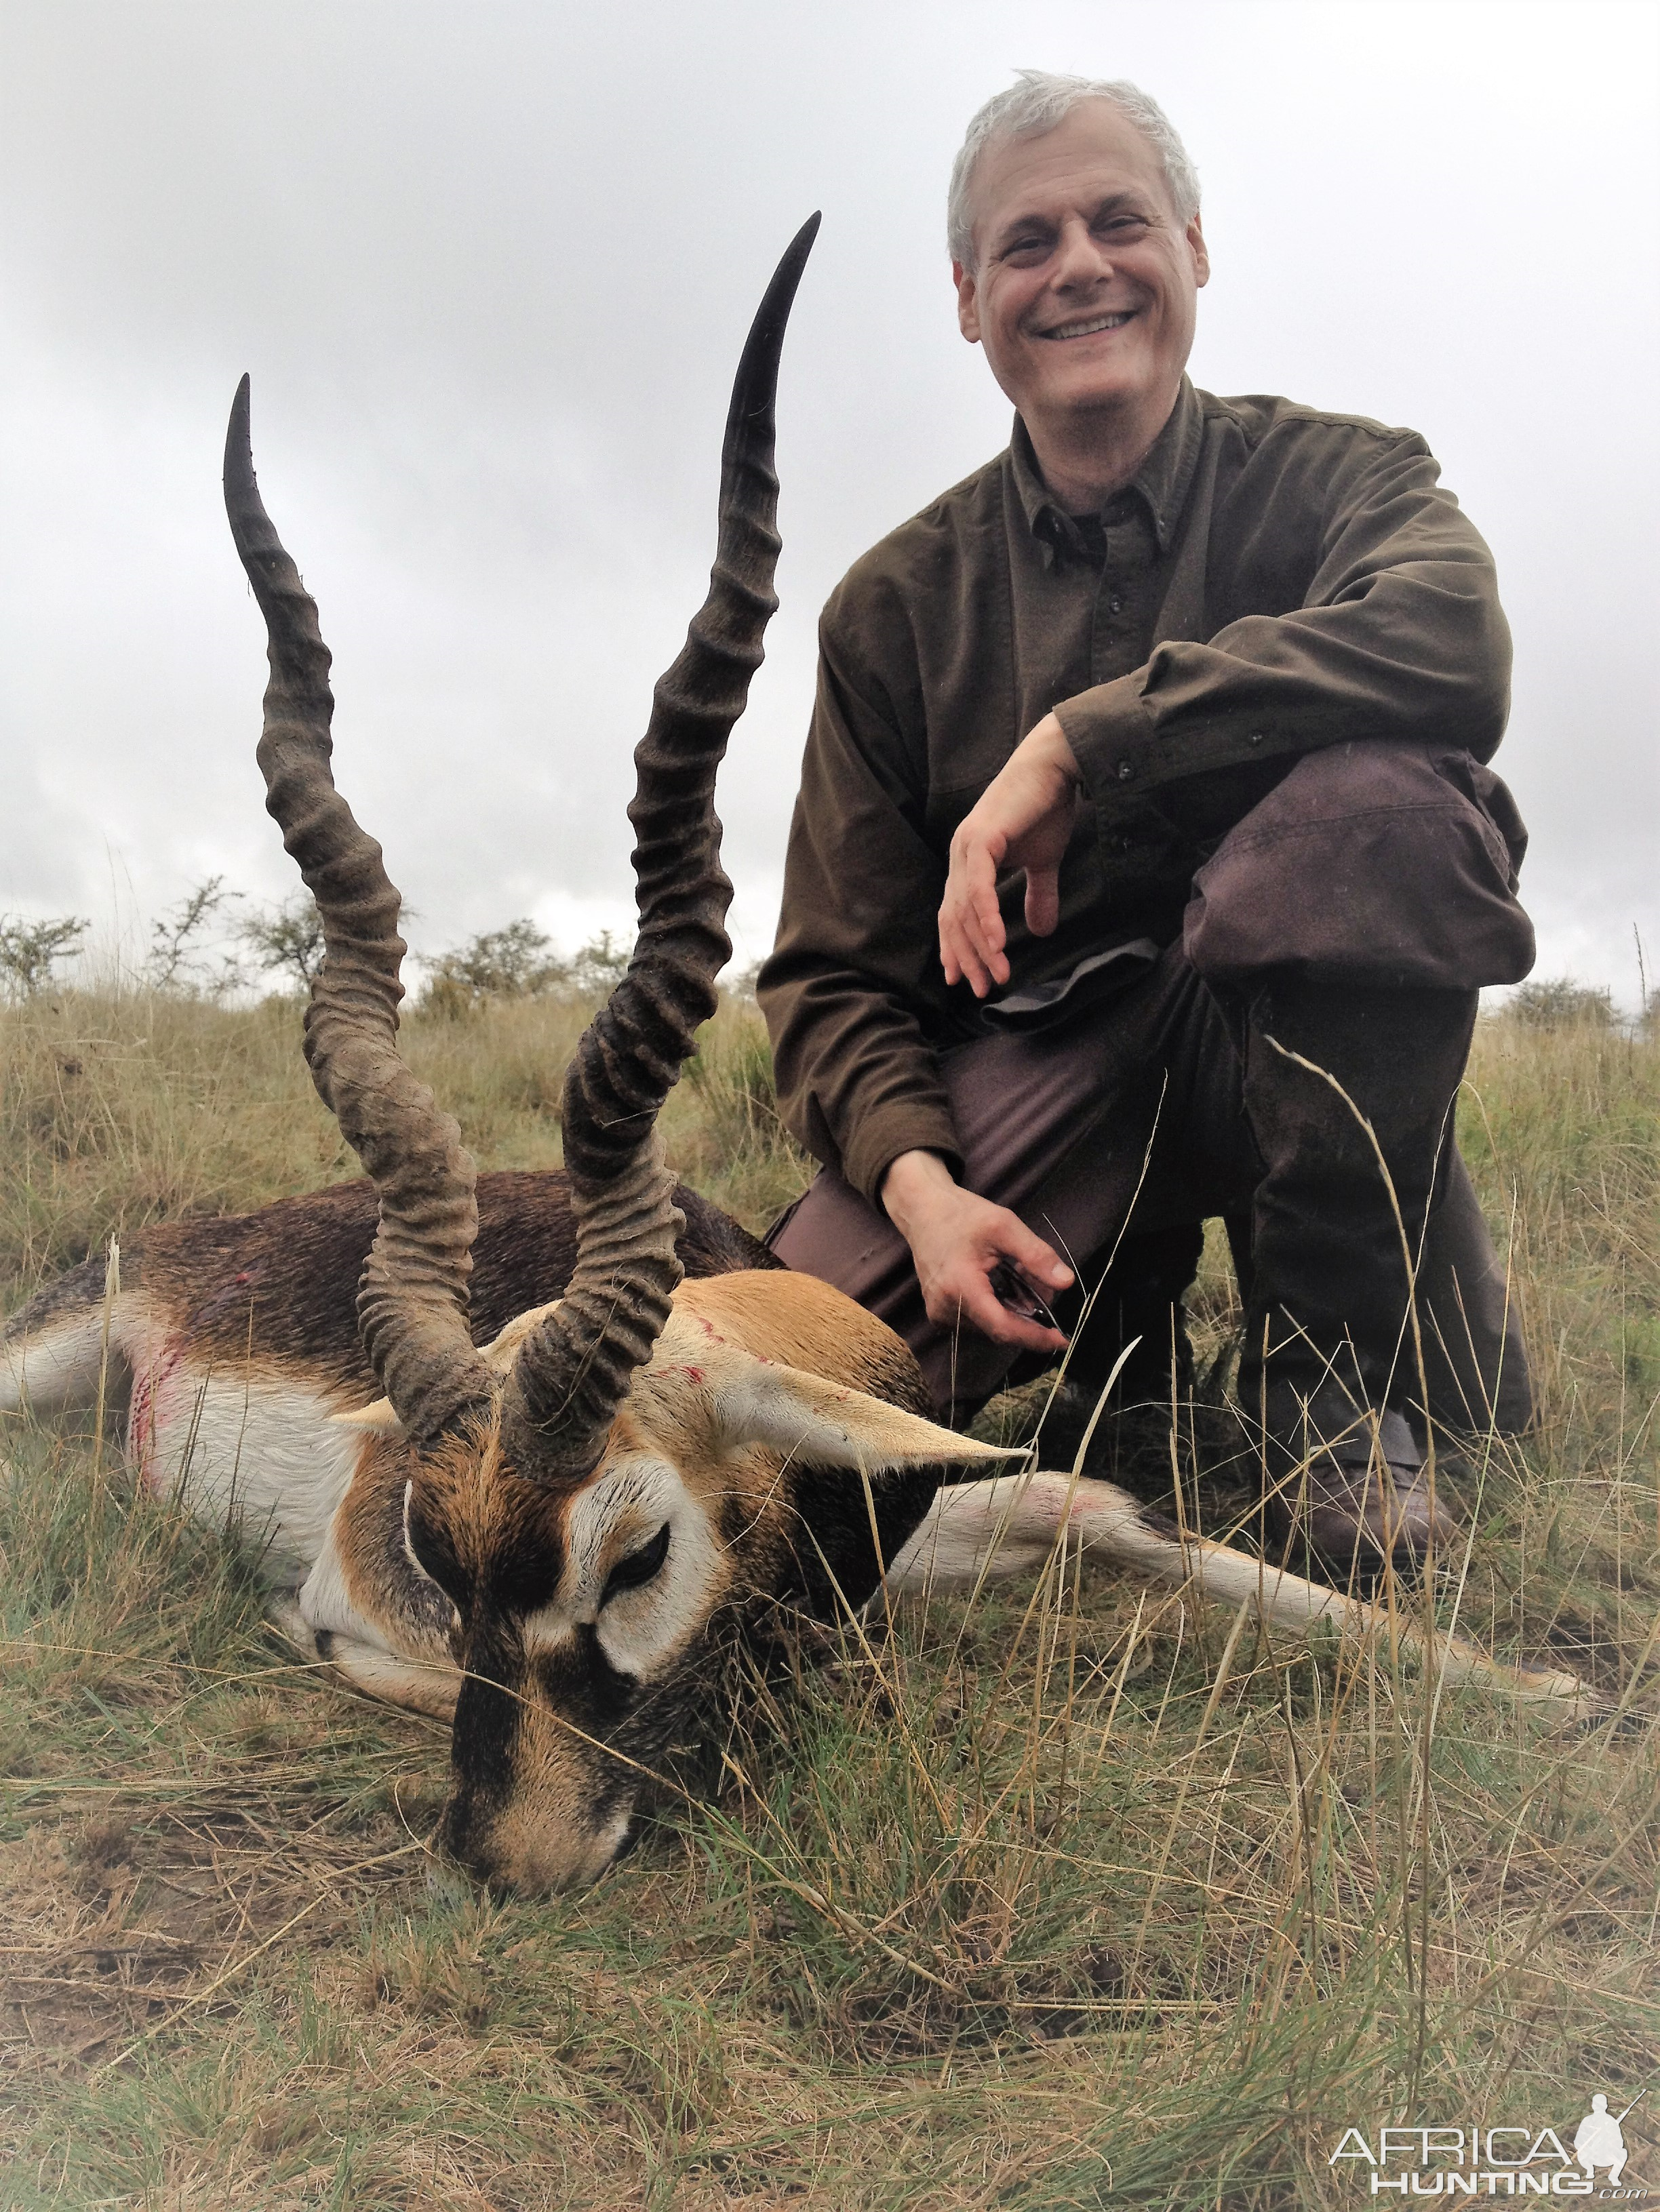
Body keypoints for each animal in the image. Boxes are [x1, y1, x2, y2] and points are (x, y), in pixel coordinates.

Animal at [0, 220, 1594, 1885]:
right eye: (435, 1553)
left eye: (638, 1548)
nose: (512, 1863)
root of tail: (175, 1246)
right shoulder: (370, 1570)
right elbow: (367, 1636)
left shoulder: (919, 1499)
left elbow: (1104, 1508)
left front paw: (1531, 1686)